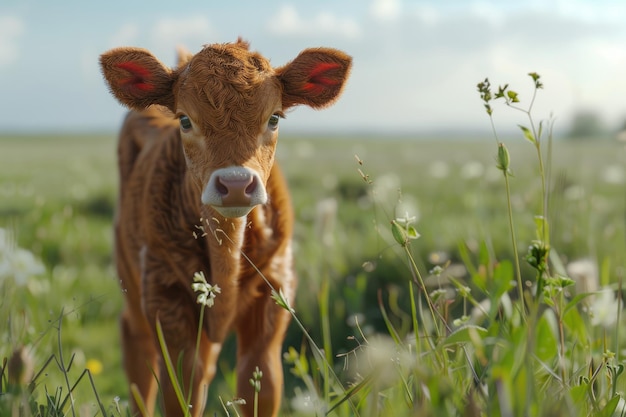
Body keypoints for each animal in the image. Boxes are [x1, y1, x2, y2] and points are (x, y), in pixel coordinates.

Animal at [100, 39, 348, 416]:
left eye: (274, 118)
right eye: (185, 120)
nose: (235, 184)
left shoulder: (275, 294)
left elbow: (258, 386)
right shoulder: (164, 299)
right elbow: (182, 393)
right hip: (132, 282)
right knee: (139, 361)